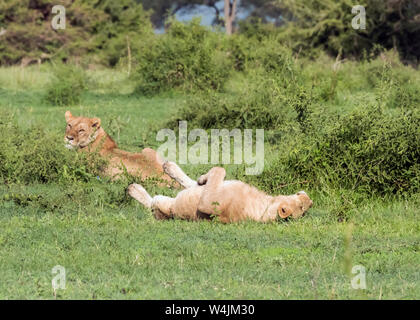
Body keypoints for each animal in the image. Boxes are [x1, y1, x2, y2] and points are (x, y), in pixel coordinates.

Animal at [128, 162, 312, 222]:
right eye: (304, 207)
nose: (310, 200)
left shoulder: (207, 205)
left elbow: (219, 169)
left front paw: (202, 177)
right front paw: (202, 178)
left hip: (165, 205)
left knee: (152, 202)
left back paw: (133, 188)